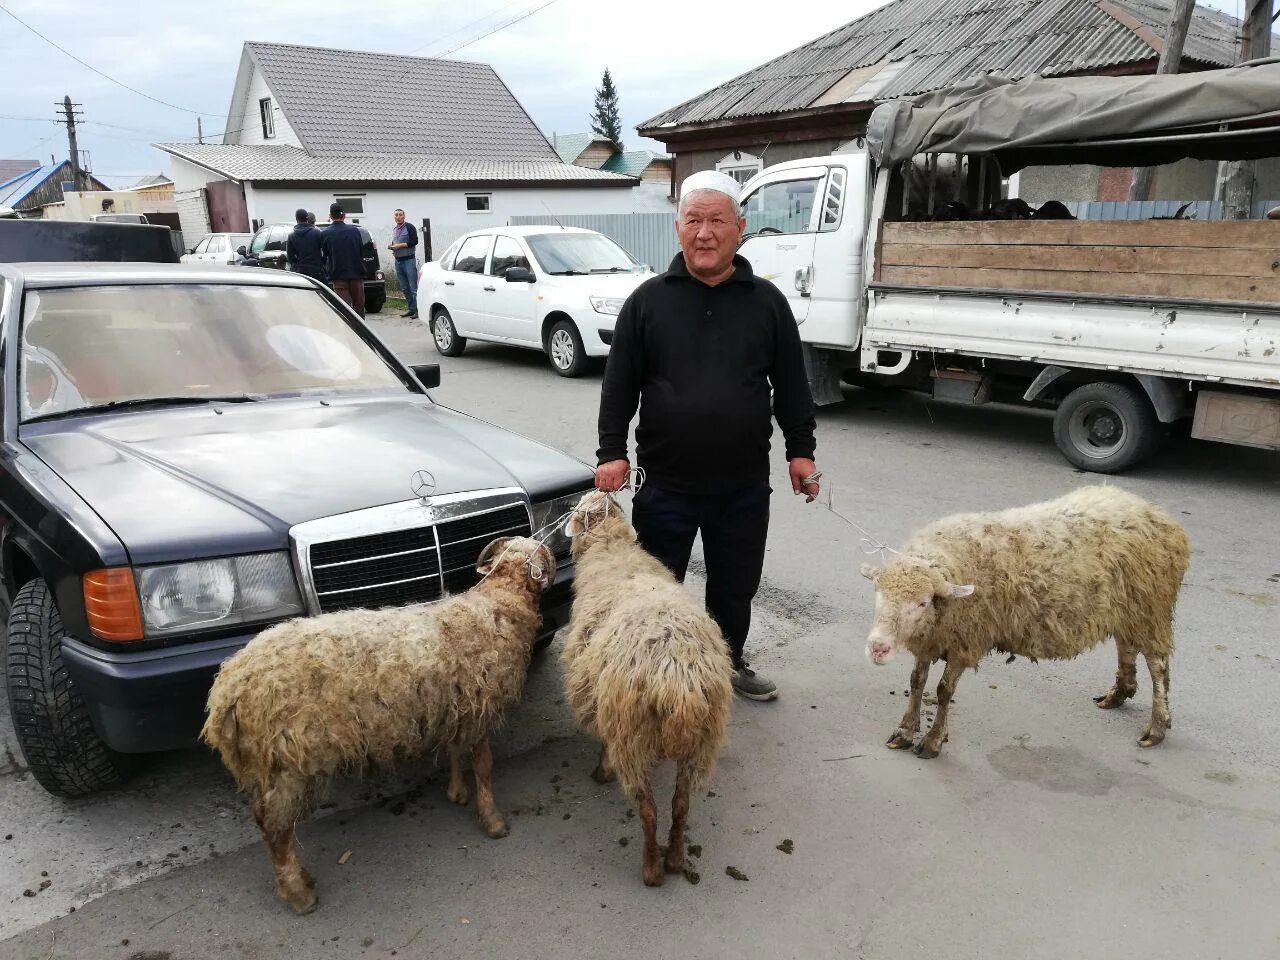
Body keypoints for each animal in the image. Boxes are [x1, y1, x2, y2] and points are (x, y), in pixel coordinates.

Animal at [204, 537, 555, 911]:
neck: (499, 602)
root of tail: (228, 690)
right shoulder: (482, 707)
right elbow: (484, 767)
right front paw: (492, 820)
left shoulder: (455, 704)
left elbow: (454, 751)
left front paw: (457, 792)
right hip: (288, 760)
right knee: (273, 827)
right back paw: (298, 893)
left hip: (271, 762)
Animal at [560, 491, 732, 890]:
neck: (611, 549)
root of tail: (679, 680)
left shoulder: (605, 703)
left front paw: (601, 769)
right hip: (702, 741)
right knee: (681, 804)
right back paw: (675, 857)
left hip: (632, 736)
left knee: (649, 810)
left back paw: (652, 869)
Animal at [860, 488, 1187, 757]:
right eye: (879, 594)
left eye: (923, 602)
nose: (878, 648)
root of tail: (1156, 512)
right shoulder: (932, 639)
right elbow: (916, 682)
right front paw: (904, 731)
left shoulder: (966, 641)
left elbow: (943, 691)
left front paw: (933, 740)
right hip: (1127, 609)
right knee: (1126, 645)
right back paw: (1119, 694)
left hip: (1151, 607)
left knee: (1158, 666)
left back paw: (1157, 726)